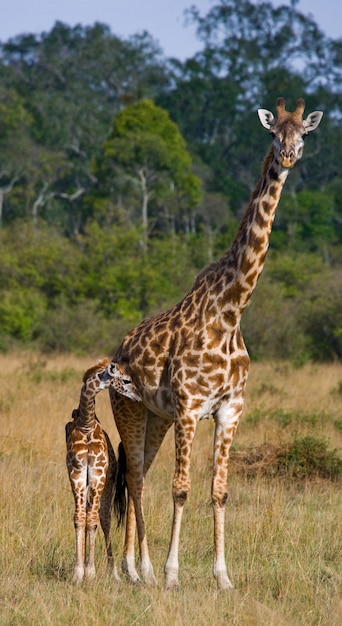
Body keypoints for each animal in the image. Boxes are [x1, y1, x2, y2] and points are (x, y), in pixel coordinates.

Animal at [66, 358, 141, 584]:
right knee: (89, 514)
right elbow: (79, 518)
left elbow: (92, 521)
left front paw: (89, 572)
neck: (87, 424)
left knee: (103, 519)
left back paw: (114, 573)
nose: (139, 396)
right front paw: (78, 572)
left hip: (106, 486)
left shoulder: (97, 475)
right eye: (125, 380)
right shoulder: (77, 474)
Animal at [107, 95, 324, 588]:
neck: (231, 312)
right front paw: (173, 575)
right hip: (130, 408)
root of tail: (119, 348)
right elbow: (181, 489)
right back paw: (137, 570)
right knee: (136, 477)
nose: (287, 158)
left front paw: (222, 577)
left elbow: (219, 492)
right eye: (272, 134)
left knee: (137, 474)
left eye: (302, 134)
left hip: (157, 417)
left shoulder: (230, 409)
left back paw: (139, 569)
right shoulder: (190, 408)